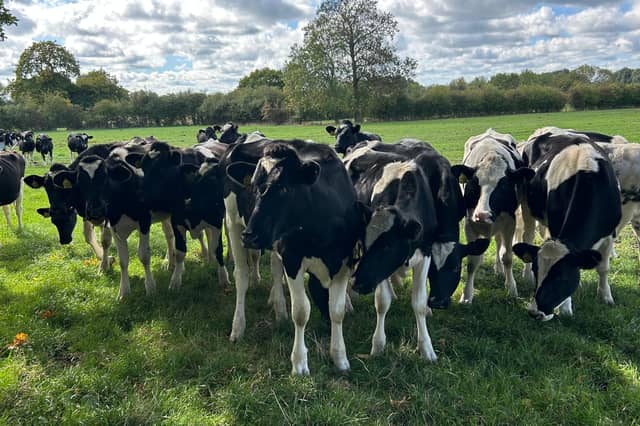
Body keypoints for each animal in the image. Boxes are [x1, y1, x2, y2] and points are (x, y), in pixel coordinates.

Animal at [227, 139, 363, 375]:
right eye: (253, 186)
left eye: (284, 188)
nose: (251, 235)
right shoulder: (292, 259)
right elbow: (301, 312)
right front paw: (299, 363)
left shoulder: (344, 262)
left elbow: (336, 311)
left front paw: (340, 357)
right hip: (233, 222)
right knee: (242, 277)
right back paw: (238, 327)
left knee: (274, 271)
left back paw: (279, 309)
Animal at [451, 129, 534, 304]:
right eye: (474, 184)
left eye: (503, 186)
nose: (482, 215)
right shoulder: (469, 224)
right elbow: (472, 261)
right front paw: (466, 295)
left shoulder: (509, 222)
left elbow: (507, 256)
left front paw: (511, 288)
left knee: (503, 241)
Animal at [513, 133, 621, 320]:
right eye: (536, 270)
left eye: (561, 277)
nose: (535, 312)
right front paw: (565, 308)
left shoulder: (609, 234)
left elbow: (603, 268)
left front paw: (606, 296)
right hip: (527, 204)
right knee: (528, 236)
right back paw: (526, 275)